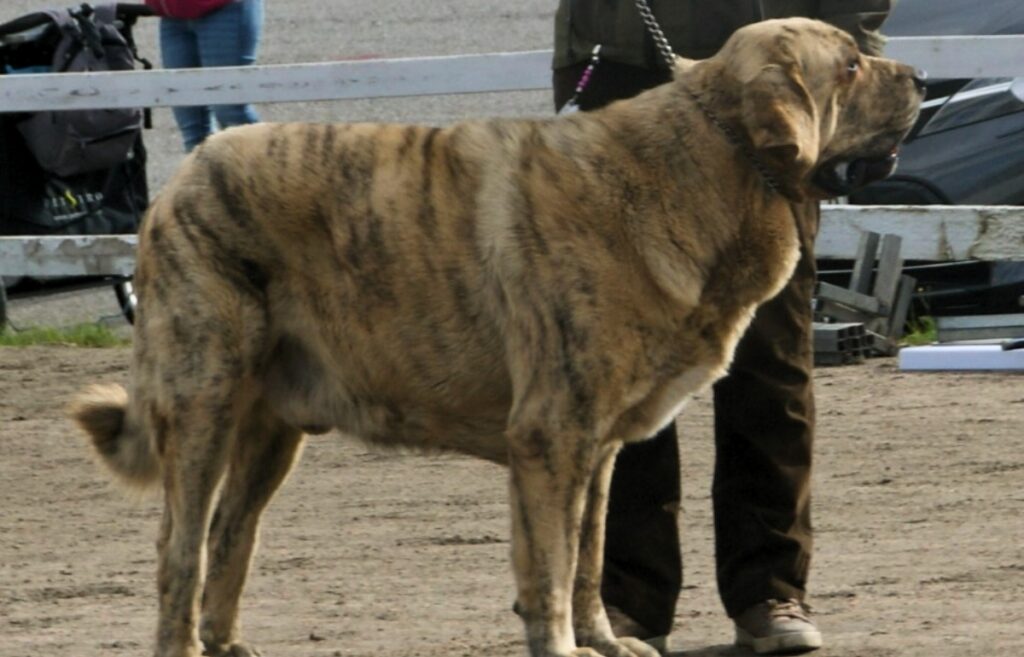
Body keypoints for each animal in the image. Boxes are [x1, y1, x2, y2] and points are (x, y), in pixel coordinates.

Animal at [72, 17, 921, 650]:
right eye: (850, 66)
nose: (916, 75)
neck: (711, 164)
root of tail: (177, 179)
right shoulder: (552, 434)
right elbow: (551, 566)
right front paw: (566, 645)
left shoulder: (597, 446)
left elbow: (588, 556)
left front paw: (603, 639)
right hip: (206, 400)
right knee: (180, 550)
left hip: (272, 430)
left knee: (230, 534)